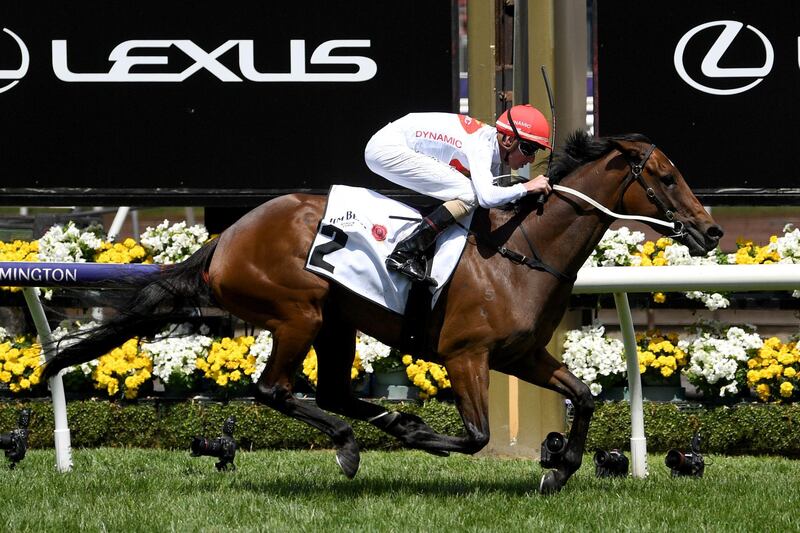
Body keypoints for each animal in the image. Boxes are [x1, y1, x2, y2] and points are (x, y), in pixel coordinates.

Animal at [42, 131, 724, 492]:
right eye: (666, 178)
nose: (712, 230)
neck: (521, 252)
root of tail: (227, 237)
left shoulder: (522, 354)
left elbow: (583, 395)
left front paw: (561, 464)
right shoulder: (465, 355)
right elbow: (476, 435)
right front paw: (430, 437)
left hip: (337, 320)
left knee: (333, 391)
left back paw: (385, 423)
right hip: (298, 315)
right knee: (274, 389)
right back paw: (355, 442)